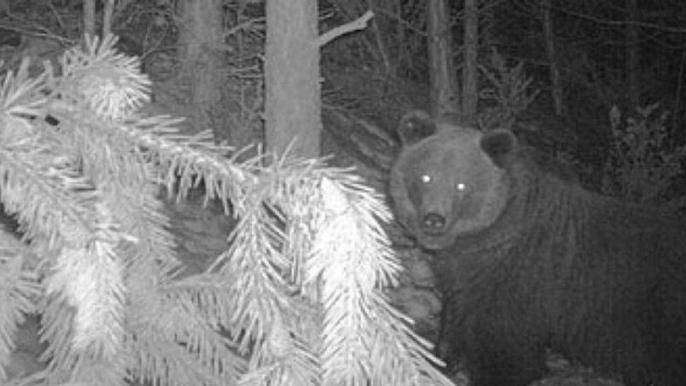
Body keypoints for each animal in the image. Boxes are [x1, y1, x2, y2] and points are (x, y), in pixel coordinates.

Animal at [390, 110, 686, 386]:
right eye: (426, 176)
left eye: (462, 184)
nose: (433, 219)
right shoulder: (468, 285)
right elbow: (455, 321)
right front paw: (442, 359)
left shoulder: (523, 283)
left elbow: (507, 351)